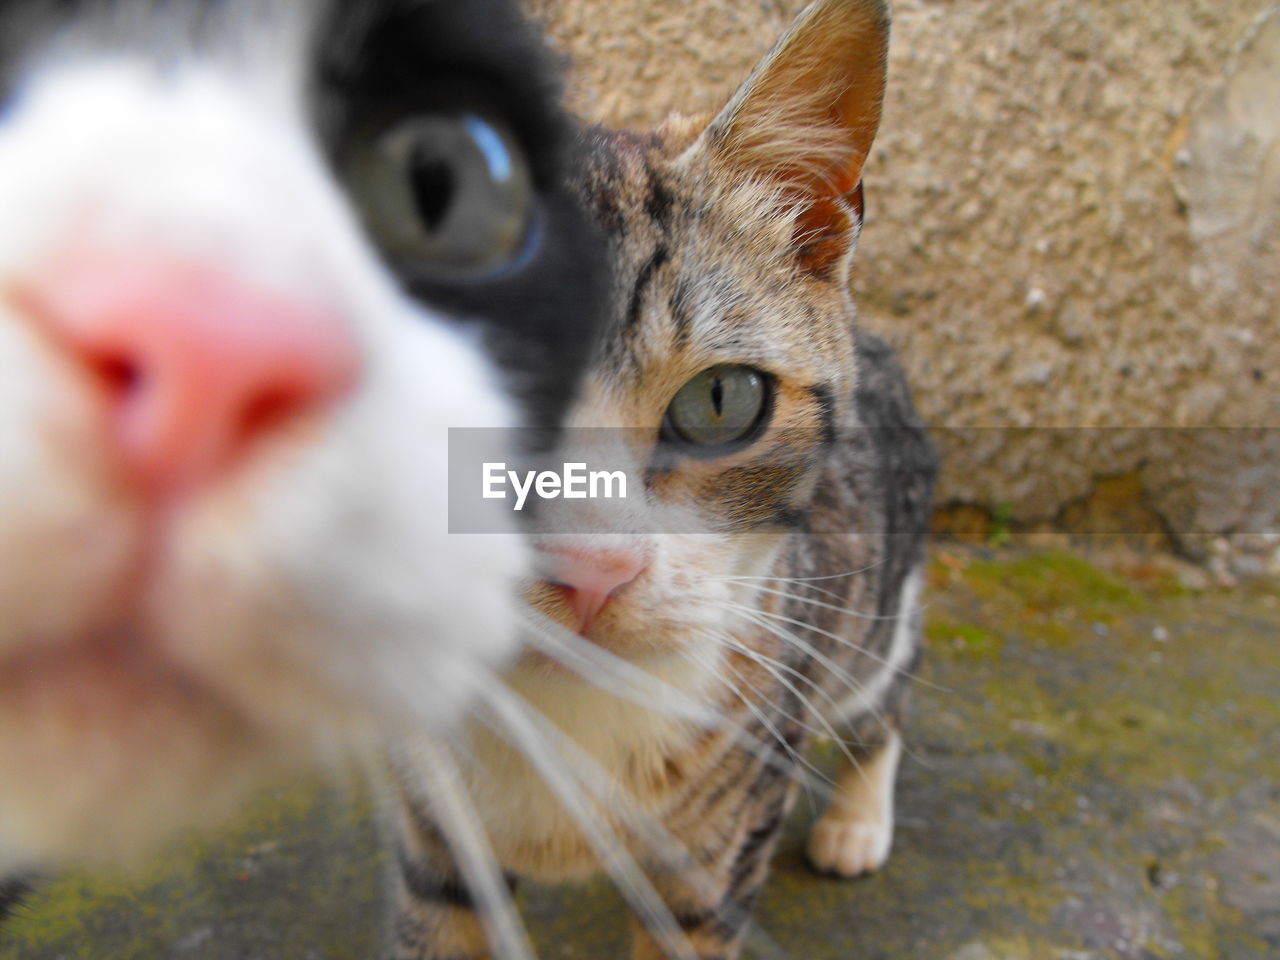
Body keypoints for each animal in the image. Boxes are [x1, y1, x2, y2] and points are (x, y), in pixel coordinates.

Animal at [389, 0, 942, 957]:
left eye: (722, 400)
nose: (589, 570)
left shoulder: (724, 844)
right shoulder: (431, 833)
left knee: (885, 694)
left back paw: (857, 819)